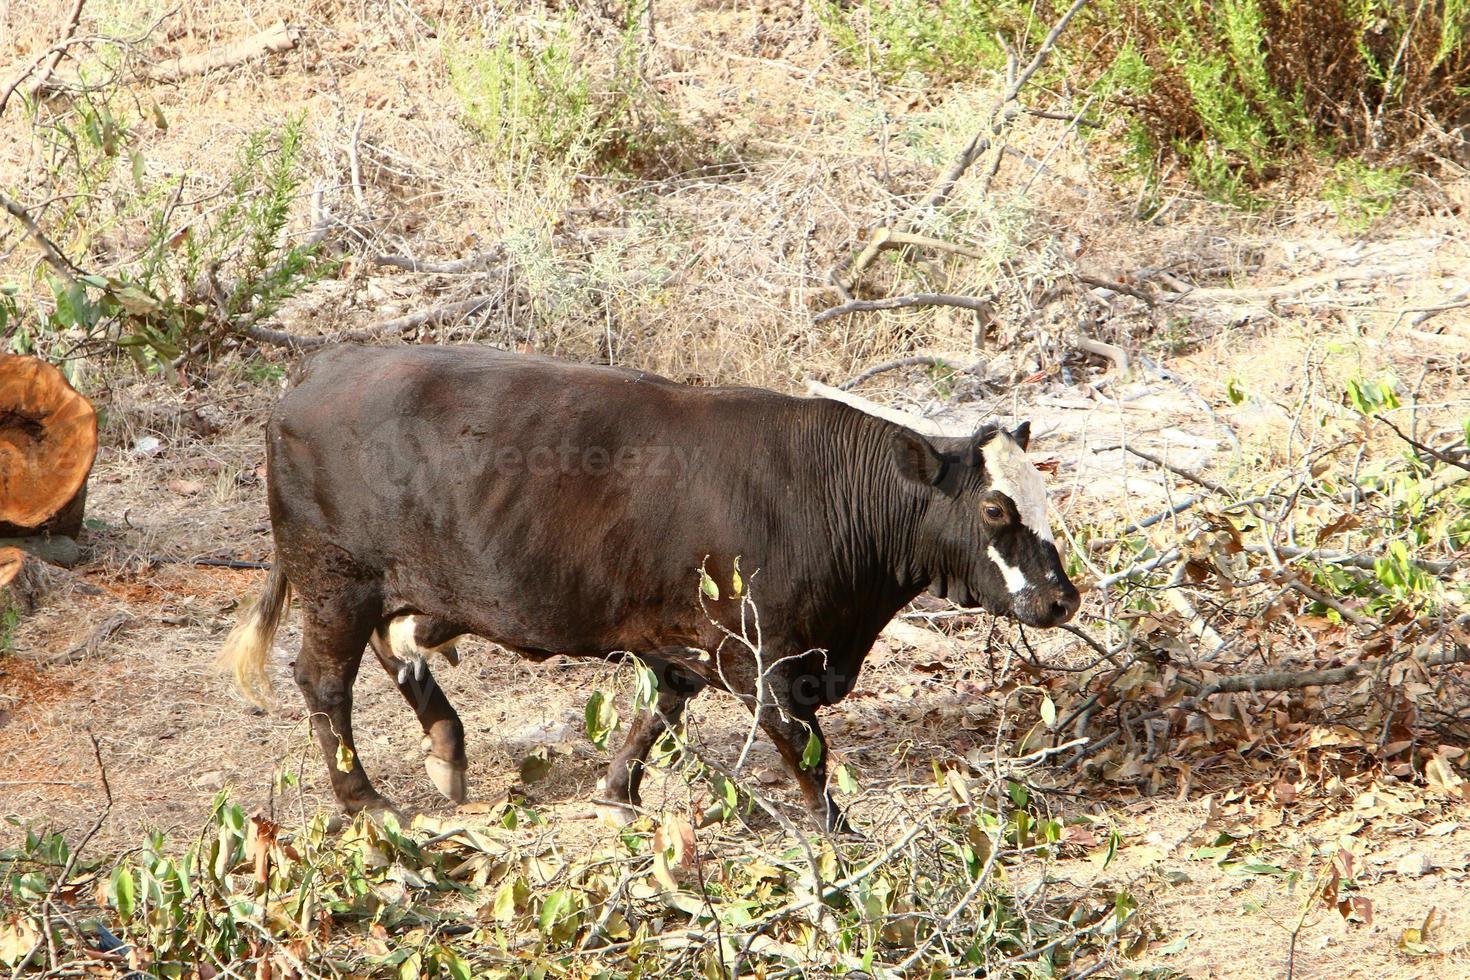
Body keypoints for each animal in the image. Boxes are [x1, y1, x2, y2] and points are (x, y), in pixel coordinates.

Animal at [217, 345, 1076, 828]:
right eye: (996, 508)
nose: (1062, 598)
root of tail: (318, 371)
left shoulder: (684, 643)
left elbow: (657, 712)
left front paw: (617, 792)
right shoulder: (761, 658)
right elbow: (805, 750)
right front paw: (838, 832)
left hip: (394, 584)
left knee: (397, 644)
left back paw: (446, 751)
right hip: (336, 580)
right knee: (324, 680)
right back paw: (364, 801)